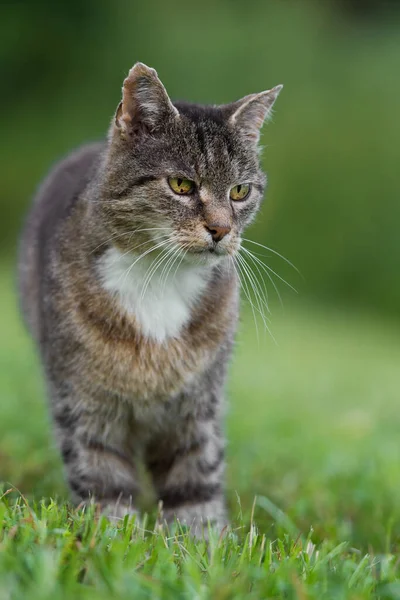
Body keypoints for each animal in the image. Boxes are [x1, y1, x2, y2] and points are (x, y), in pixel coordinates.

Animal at [18, 63, 282, 536]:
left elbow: (195, 483)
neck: (161, 279)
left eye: (240, 191)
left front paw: (202, 542)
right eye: (181, 184)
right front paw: (110, 538)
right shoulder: (85, 403)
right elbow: (103, 482)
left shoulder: (197, 408)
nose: (221, 230)